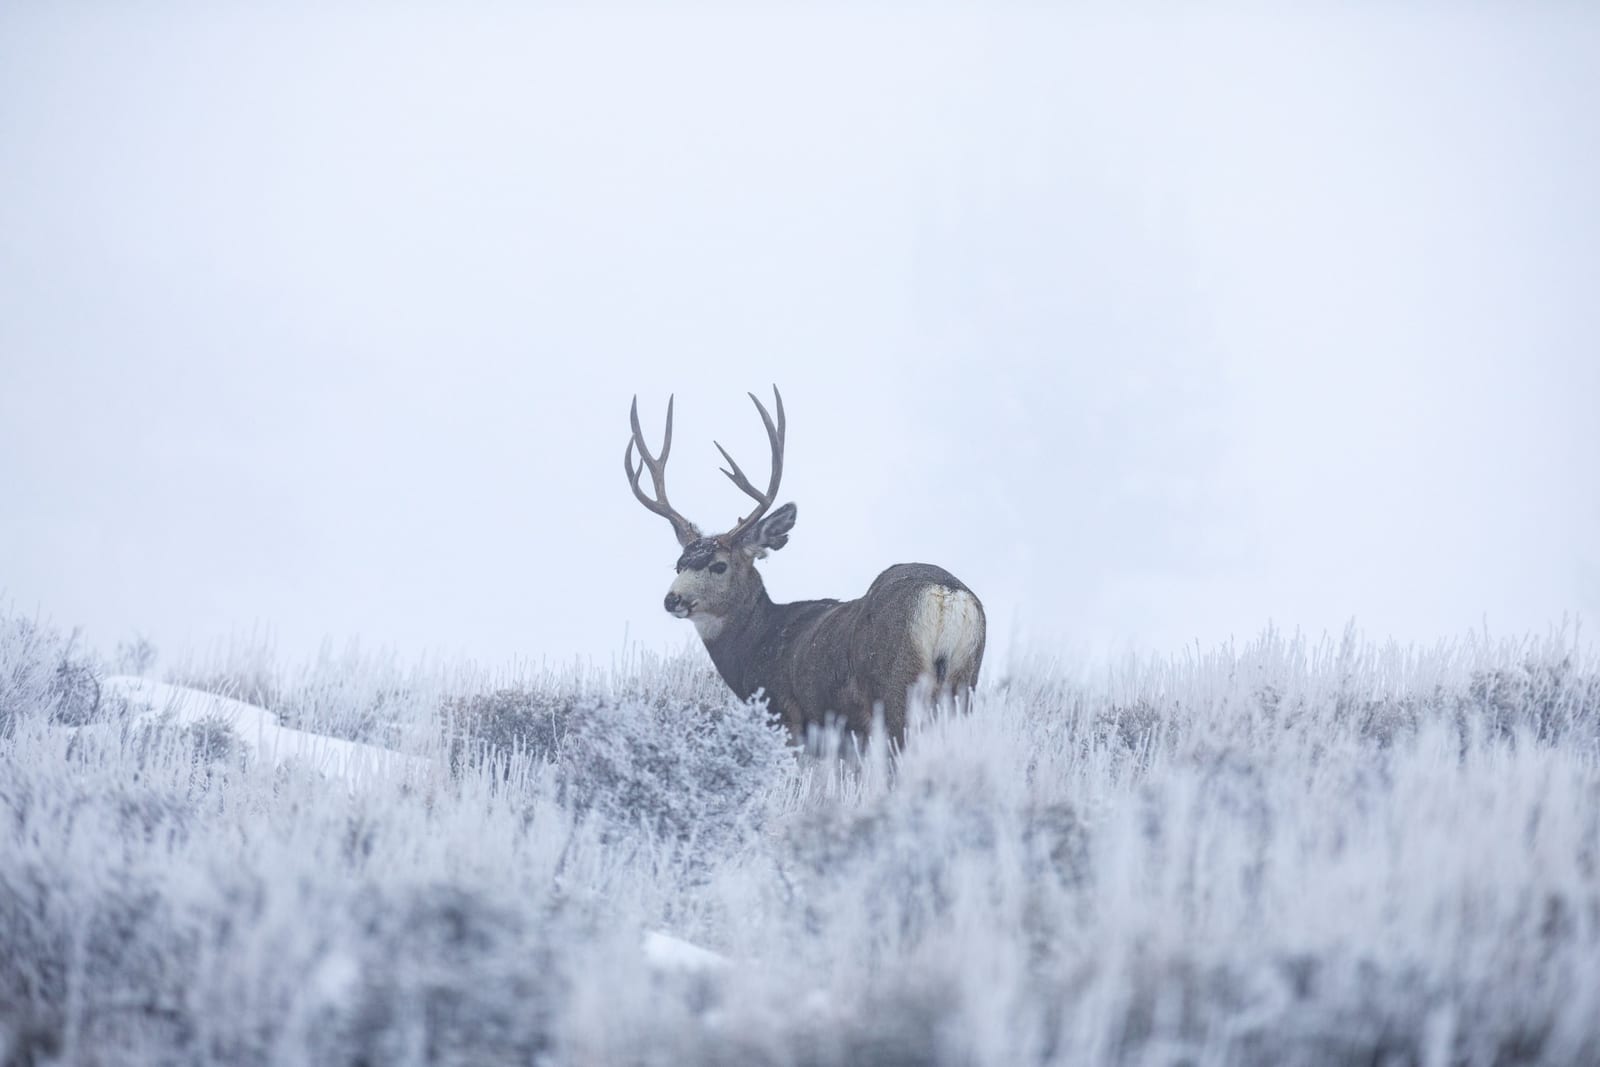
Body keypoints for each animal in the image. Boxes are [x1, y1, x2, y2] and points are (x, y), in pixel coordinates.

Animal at [624, 386, 985, 750]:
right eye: (679, 565)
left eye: (719, 565)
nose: (672, 599)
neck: (757, 642)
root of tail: (946, 595)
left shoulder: (787, 716)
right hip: (963, 686)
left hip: (896, 687)